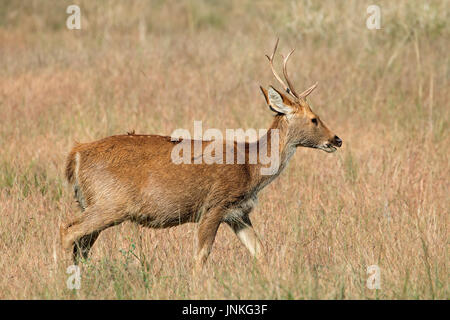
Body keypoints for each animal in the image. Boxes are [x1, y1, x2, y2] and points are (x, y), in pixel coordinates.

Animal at [59, 38, 342, 272]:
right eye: (315, 119)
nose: (336, 139)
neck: (251, 167)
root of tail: (76, 155)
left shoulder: (238, 213)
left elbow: (260, 251)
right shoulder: (214, 204)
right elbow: (201, 256)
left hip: (91, 202)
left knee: (81, 246)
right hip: (111, 202)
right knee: (67, 230)